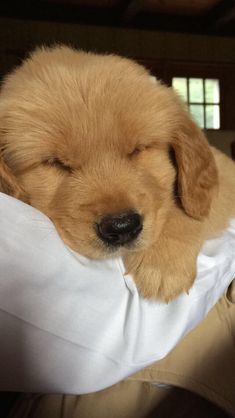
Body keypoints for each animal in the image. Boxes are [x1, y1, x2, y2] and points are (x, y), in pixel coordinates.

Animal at [0, 45, 235, 300]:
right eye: (55, 162)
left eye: (138, 149)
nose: (122, 227)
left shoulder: (224, 172)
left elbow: (187, 209)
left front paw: (161, 263)